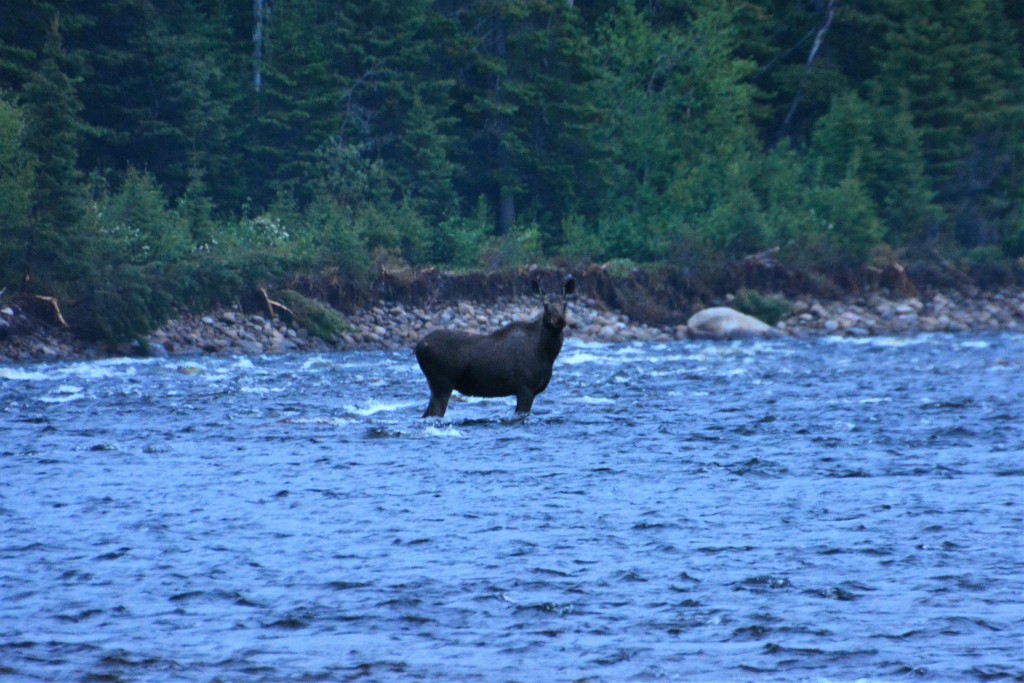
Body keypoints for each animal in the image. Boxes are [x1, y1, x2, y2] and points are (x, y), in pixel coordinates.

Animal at [414, 275, 576, 418]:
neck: (547, 354)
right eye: (545, 304)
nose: (560, 320)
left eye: (565, 304)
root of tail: (417, 347)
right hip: (442, 382)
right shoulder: (525, 388)